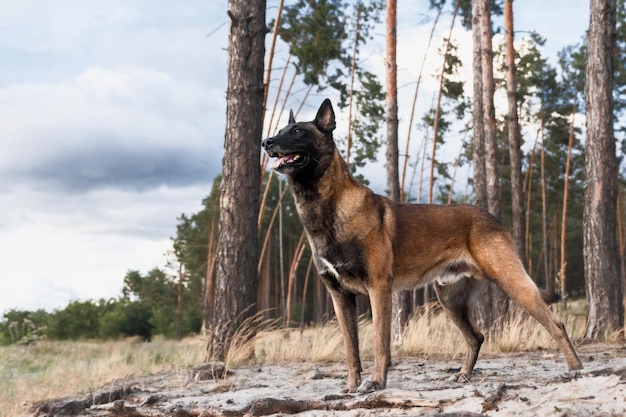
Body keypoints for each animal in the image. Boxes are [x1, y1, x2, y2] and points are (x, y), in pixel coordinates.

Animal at [260, 99, 584, 392]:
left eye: (298, 131)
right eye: (281, 130)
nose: (266, 142)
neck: (327, 208)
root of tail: (491, 216)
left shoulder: (379, 289)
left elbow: (379, 342)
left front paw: (376, 383)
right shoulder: (340, 297)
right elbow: (351, 349)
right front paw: (351, 386)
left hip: (511, 282)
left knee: (556, 325)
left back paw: (575, 369)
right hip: (450, 299)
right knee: (476, 337)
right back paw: (463, 375)